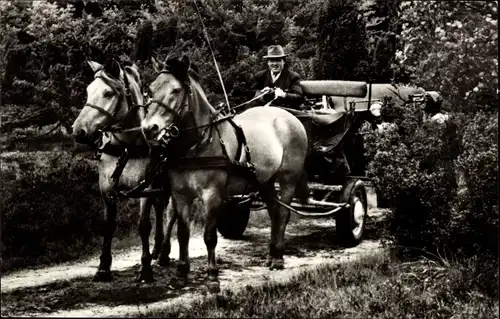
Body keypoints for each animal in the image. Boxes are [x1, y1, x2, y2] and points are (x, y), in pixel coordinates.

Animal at [71, 61, 176, 284]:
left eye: (109, 93)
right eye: (88, 91)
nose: (78, 131)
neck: (127, 147)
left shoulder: (146, 187)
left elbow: (144, 225)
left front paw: (145, 269)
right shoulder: (106, 187)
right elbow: (108, 225)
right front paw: (103, 267)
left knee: (171, 214)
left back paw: (164, 253)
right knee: (160, 209)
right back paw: (157, 250)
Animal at [139, 55, 306, 292]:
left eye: (176, 90)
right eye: (151, 89)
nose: (149, 128)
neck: (199, 143)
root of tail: (290, 117)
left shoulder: (212, 195)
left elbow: (210, 236)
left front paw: (212, 277)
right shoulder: (181, 195)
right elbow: (183, 234)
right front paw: (181, 274)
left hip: (288, 180)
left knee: (282, 214)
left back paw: (278, 258)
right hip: (265, 182)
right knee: (274, 213)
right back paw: (271, 254)